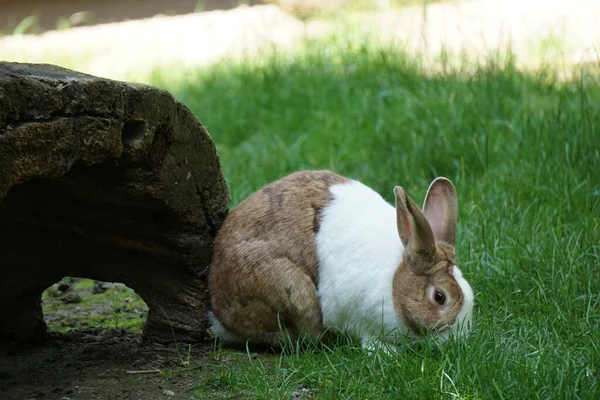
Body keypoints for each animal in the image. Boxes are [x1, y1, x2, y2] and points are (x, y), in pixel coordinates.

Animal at [209, 169, 476, 350]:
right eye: (440, 297)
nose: (458, 339)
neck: (394, 281)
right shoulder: (360, 320)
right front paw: (388, 352)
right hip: (292, 291)